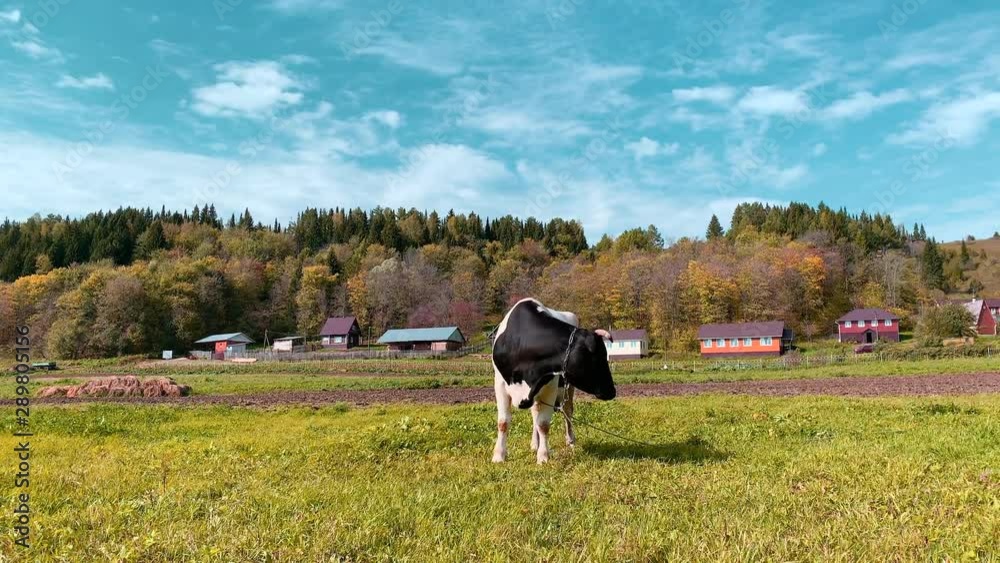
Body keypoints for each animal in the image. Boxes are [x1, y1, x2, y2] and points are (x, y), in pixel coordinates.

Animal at [491, 298, 616, 464]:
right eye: (600, 358)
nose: (612, 391)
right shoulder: (500, 385)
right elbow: (503, 422)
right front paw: (499, 455)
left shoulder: (550, 387)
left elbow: (543, 424)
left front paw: (543, 456)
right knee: (535, 414)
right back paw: (534, 443)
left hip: (568, 389)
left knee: (567, 412)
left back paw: (570, 440)